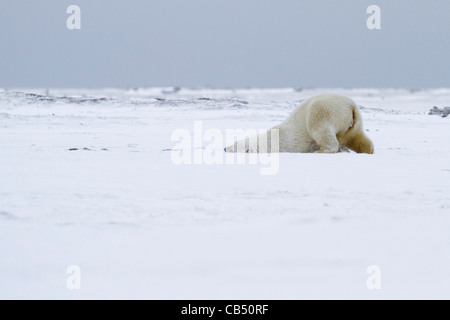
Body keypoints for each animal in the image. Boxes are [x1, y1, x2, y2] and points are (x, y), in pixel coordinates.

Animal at [227, 93, 374, 154]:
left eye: (233, 146)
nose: (224, 148)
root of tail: (350, 105)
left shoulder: (288, 144)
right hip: (354, 121)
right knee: (356, 136)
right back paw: (367, 150)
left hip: (324, 111)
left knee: (321, 130)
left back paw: (321, 150)